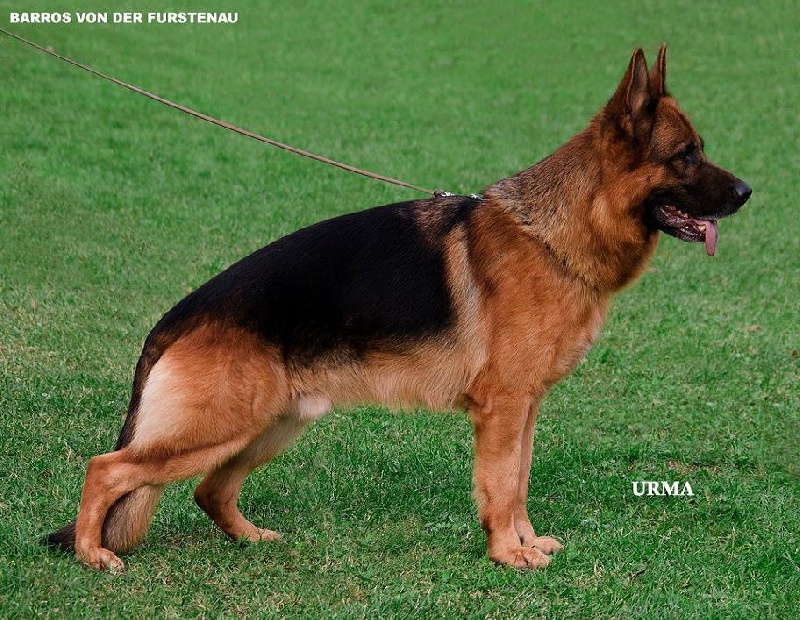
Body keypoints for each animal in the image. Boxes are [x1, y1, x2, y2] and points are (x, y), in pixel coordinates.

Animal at [47, 46, 752, 568]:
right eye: (685, 155)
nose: (749, 191)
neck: (551, 235)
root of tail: (174, 320)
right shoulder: (504, 409)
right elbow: (502, 485)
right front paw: (507, 554)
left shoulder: (525, 408)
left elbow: (520, 480)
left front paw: (525, 543)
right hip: (219, 425)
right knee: (106, 468)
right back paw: (91, 555)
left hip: (270, 423)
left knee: (207, 488)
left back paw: (250, 539)